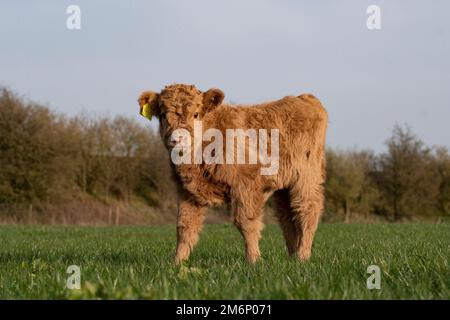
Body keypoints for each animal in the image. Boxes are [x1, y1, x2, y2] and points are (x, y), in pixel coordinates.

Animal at [137, 84, 326, 264]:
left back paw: (302, 256)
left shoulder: (246, 185)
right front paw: (177, 262)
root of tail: (304, 98)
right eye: (163, 115)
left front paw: (253, 260)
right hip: (284, 186)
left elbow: (246, 223)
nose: (178, 139)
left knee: (307, 211)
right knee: (287, 218)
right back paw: (293, 256)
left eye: (196, 114)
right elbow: (185, 227)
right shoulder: (186, 191)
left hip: (306, 177)